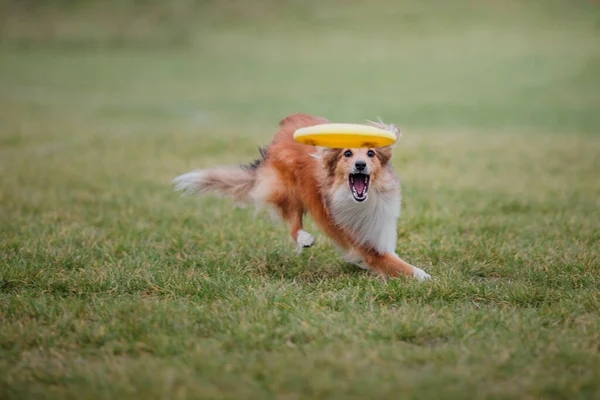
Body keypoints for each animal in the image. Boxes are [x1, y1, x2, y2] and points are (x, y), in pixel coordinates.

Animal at [173, 114, 432, 280]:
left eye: (371, 153)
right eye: (347, 153)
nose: (360, 165)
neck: (361, 199)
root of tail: (284, 126)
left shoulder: (379, 229)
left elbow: (394, 258)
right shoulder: (366, 245)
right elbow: (399, 266)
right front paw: (426, 277)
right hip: (288, 190)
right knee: (293, 220)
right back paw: (304, 238)